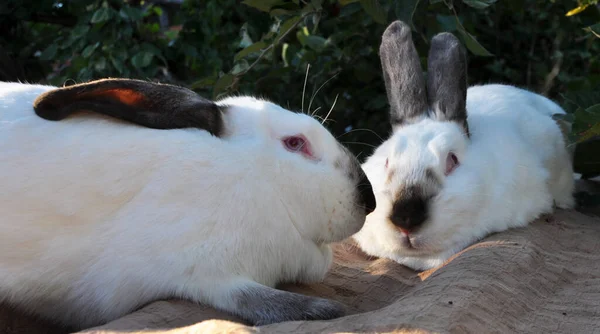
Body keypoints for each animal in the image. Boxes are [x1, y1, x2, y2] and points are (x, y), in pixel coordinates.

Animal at [0, 77, 376, 328]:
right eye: (295, 143)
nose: (368, 200)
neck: (256, 177)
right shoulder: (197, 271)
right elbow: (249, 298)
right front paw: (323, 309)